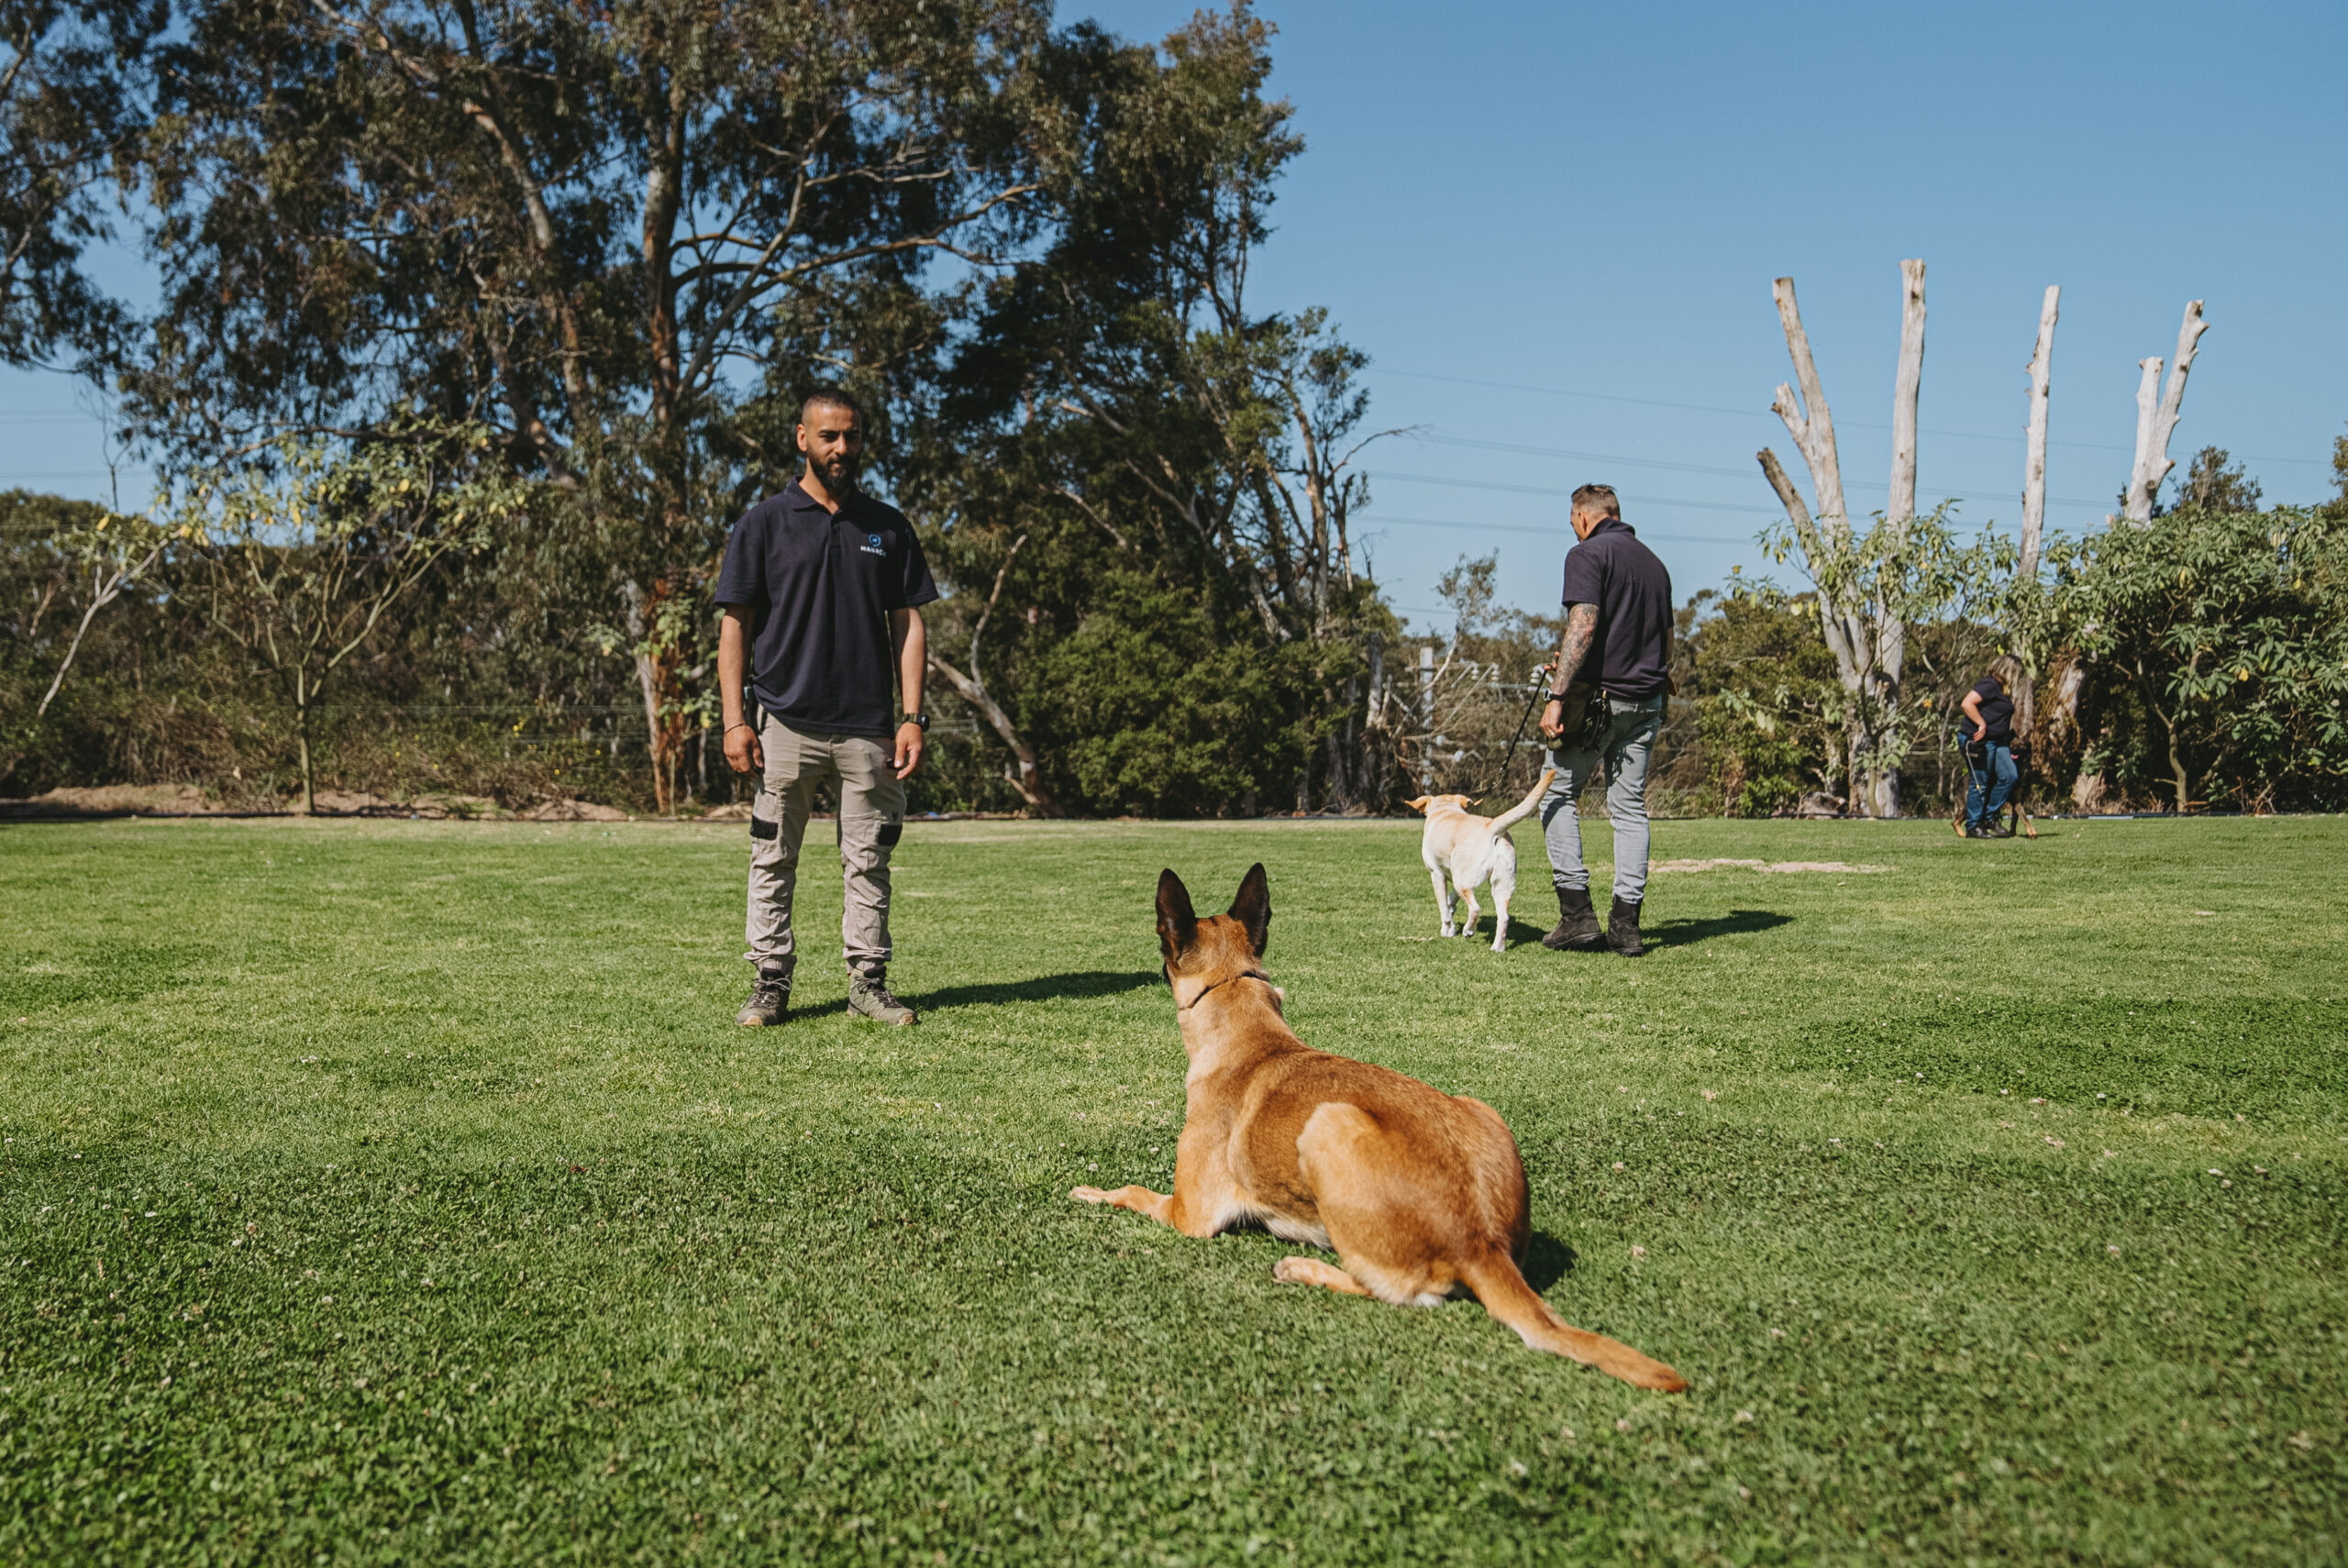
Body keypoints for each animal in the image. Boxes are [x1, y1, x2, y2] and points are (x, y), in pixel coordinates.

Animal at [1075, 864, 1700, 1389]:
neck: (1247, 1027)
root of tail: (1480, 1243)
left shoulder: (1190, 1214)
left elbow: (1131, 1191)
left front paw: (1092, 1192)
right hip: (1480, 1108)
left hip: (1328, 1124)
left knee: (1395, 1289)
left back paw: (1303, 1264)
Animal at [1399, 769, 1549, 948]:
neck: (1445, 808)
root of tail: (1491, 828)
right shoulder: (1454, 875)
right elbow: (1451, 899)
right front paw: (1451, 908)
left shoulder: (1436, 874)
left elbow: (1444, 909)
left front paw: (1448, 930)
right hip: (1501, 885)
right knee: (1504, 917)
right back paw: (1497, 948)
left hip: (1463, 881)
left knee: (1475, 908)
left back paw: (1468, 930)